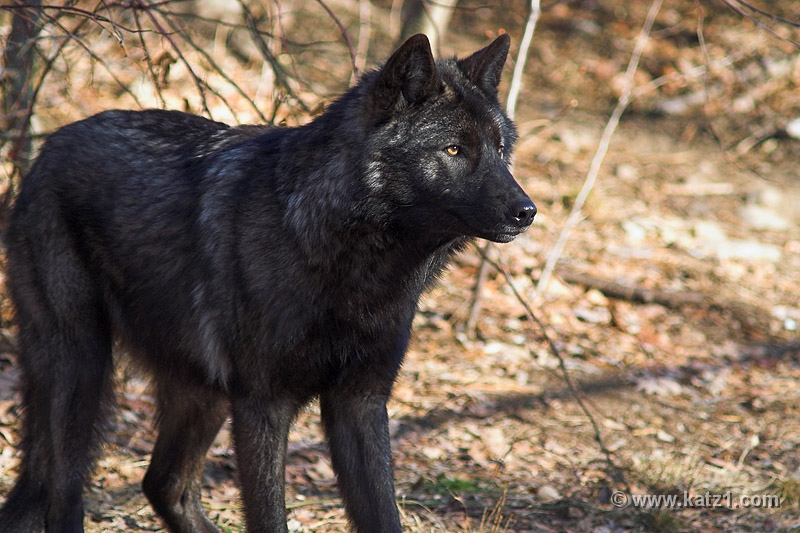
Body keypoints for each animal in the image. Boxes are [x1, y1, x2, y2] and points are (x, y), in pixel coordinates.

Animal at [0, 33, 535, 532]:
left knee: (163, 484)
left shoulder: (360, 404)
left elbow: (383, 514)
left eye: (499, 150)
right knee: (64, 492)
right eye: (454, 150)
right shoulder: (263, 406)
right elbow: (270, 517)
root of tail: (47, 148)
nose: (527, 211)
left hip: (202, 393)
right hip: (82, 368)